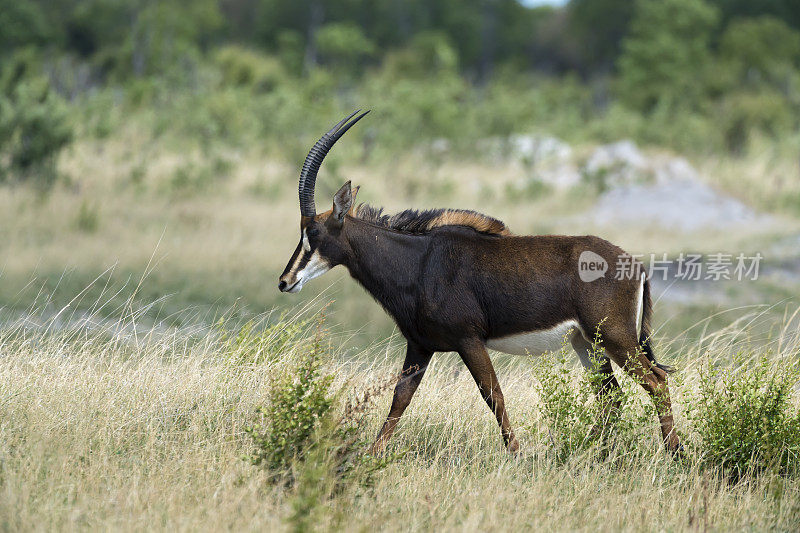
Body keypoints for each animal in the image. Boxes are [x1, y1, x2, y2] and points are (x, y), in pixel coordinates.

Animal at [282, 110, 680, 456]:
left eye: (313, 232)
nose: (285, 281)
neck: (418, 261)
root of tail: (634, 265)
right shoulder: (420, 346)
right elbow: (400, 399)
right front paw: (371, 455)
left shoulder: (467, 340)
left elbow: (493, 395)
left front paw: (517, 455)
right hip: (588, 343)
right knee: (611, 395)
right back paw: (588, 452)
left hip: (615, 338)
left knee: (655, 382)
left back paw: (674, 455)